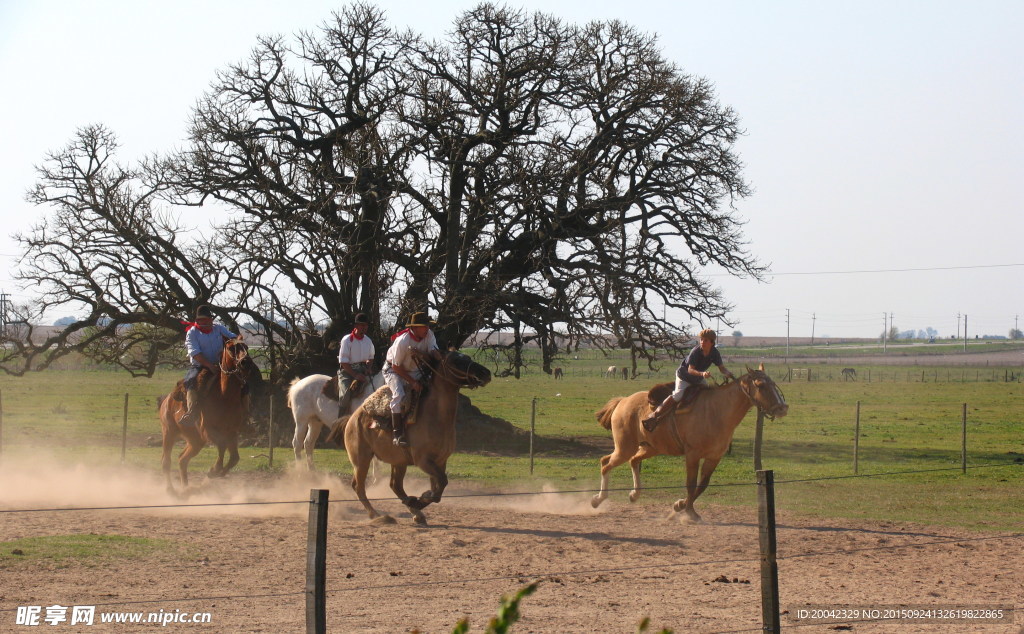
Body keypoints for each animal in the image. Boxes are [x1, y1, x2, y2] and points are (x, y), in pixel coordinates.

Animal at [159, 337, 258, 495]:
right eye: (231, 348)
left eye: (246, 347)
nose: (246, 362)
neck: (225, 396)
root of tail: (167, 400)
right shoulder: (209, 430)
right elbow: (222, 447)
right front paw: (214, 470)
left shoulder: (232, 432)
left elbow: (234, 458)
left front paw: (219, 472)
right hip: (169, 433)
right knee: (166, 462)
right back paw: (171, 490)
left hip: (195, 441)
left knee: (182, 459)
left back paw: (186, 488)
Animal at [346, 350, 493, 524]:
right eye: (456, 361)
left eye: (468, 358)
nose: (486, 373)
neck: (436, 416)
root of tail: (354, 417)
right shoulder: (423, 461)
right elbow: (441, 483)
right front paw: (420, 499)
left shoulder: (440, 461)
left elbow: (438, 489)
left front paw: (419, 500)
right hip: (361, 459)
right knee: (359, 486)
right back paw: (377, 515)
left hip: (398, 461)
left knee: (395, 485)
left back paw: (415, 512)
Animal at [589, 364, 786, 524]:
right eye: (760, 385)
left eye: (773, 383)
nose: (782, 408)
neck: (717, 411)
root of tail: (623, 401)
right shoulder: (692, 455)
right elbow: (691, 484)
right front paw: (689, 512)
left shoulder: (714, 457)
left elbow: (702, 485)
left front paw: (680, 505)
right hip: (625, 448)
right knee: (606, 463)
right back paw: (597, 499)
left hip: (651, 448)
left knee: (633, 461)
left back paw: (633, 494)